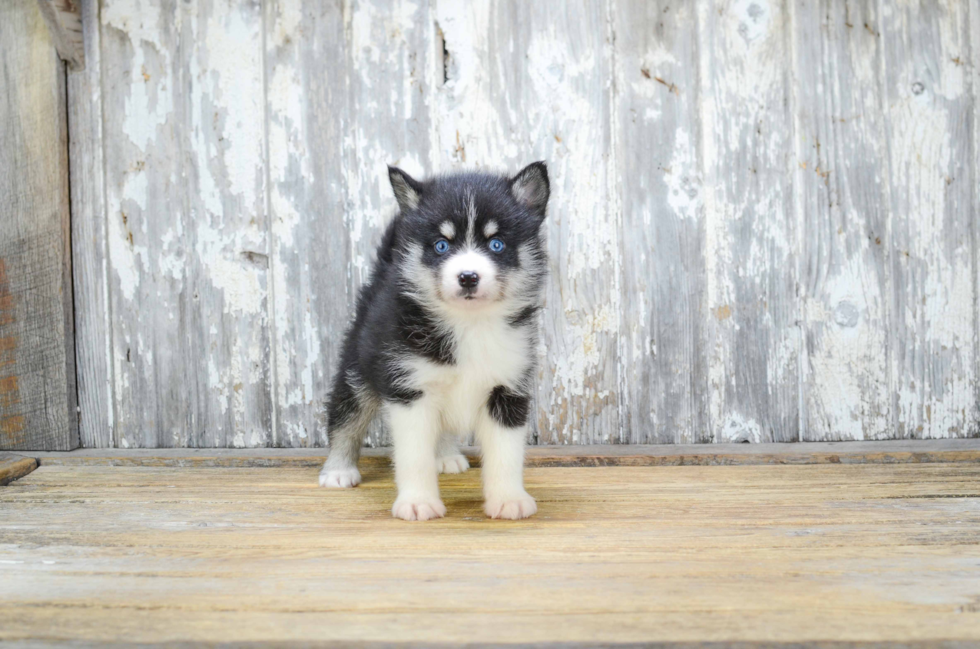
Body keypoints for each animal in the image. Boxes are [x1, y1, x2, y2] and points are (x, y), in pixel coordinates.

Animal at [322, 162, 552, 520]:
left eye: (497, 244)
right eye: (441, 246)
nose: (468, 277)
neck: (469, 324)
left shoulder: (508, 389)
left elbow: (506, 454)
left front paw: (509, 499)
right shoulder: (409, 389)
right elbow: (414, 456)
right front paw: (418, 502)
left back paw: (445, 456)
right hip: (359, 364)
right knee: (346, 414)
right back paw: (338, 469)